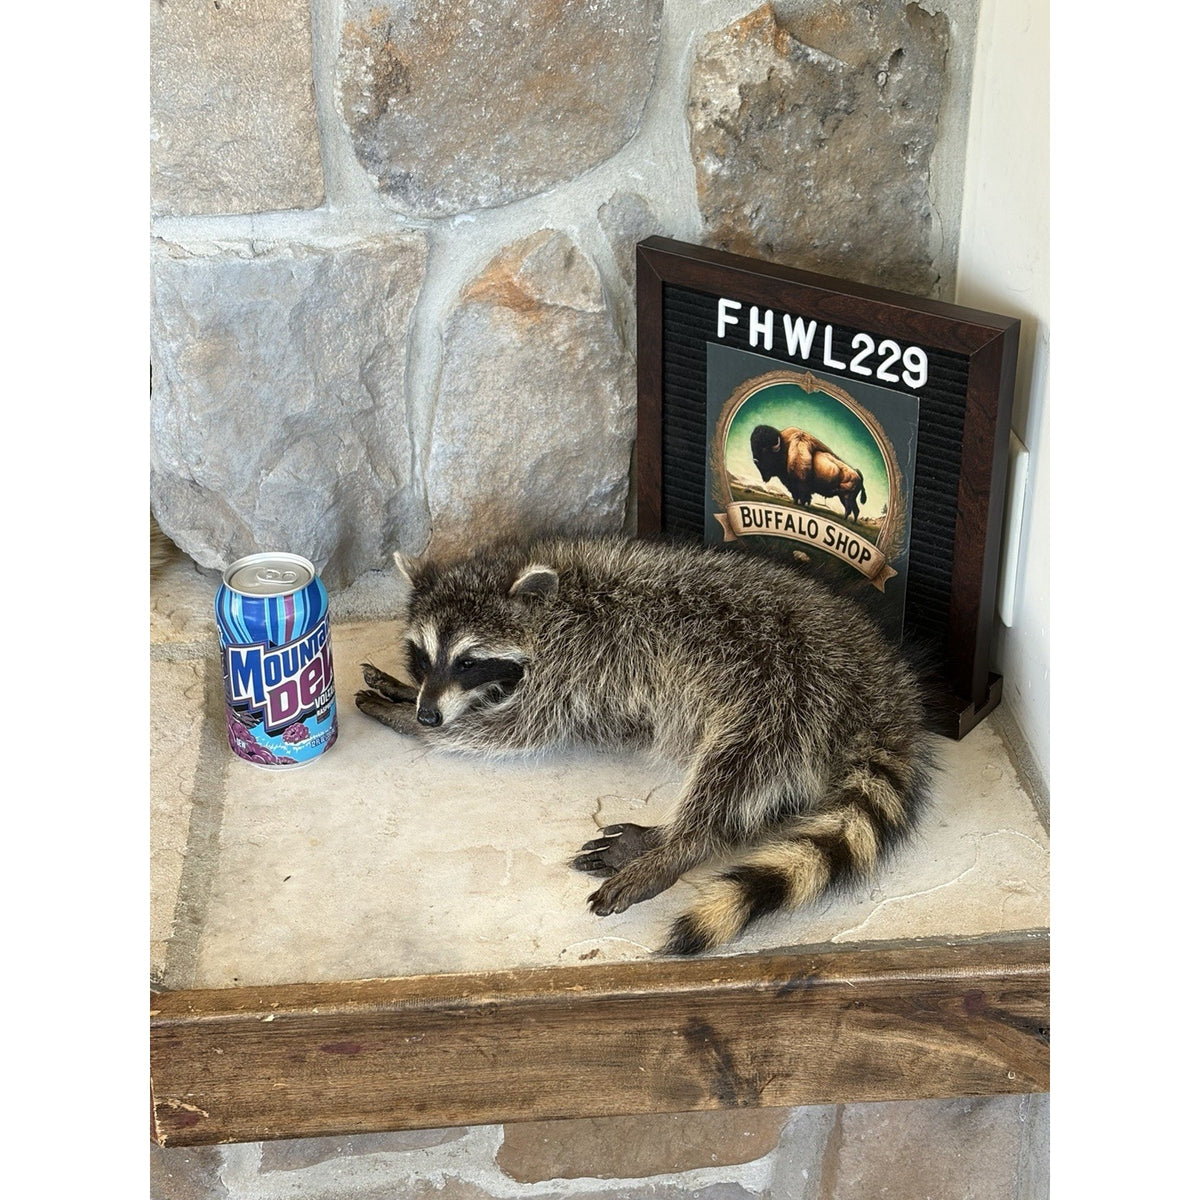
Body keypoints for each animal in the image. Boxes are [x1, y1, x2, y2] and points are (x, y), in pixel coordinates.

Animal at [356, 534, 936, 955]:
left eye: (469, 660)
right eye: (424, 655)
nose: (428, 713)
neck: (551, 599)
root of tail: (889, 681)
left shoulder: (572, 659)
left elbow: (516, 727)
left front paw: (417, 722)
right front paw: (406, 694)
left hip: (789, 690)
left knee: (738, 767)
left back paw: (680, 844)